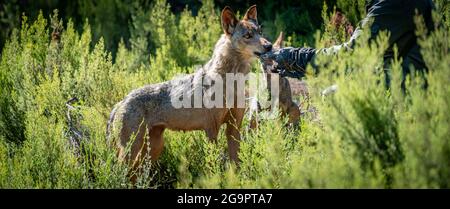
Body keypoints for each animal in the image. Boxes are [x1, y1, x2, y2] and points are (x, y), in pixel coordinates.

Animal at [107, 5, 272, 170]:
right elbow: (214, 166)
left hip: (151, 151)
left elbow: (235, 165)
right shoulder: (211, 130)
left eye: (260, 32)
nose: (269, 46)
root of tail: (121, 101)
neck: (231, 82)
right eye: (248, 35)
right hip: (132, 153)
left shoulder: (234, 127)